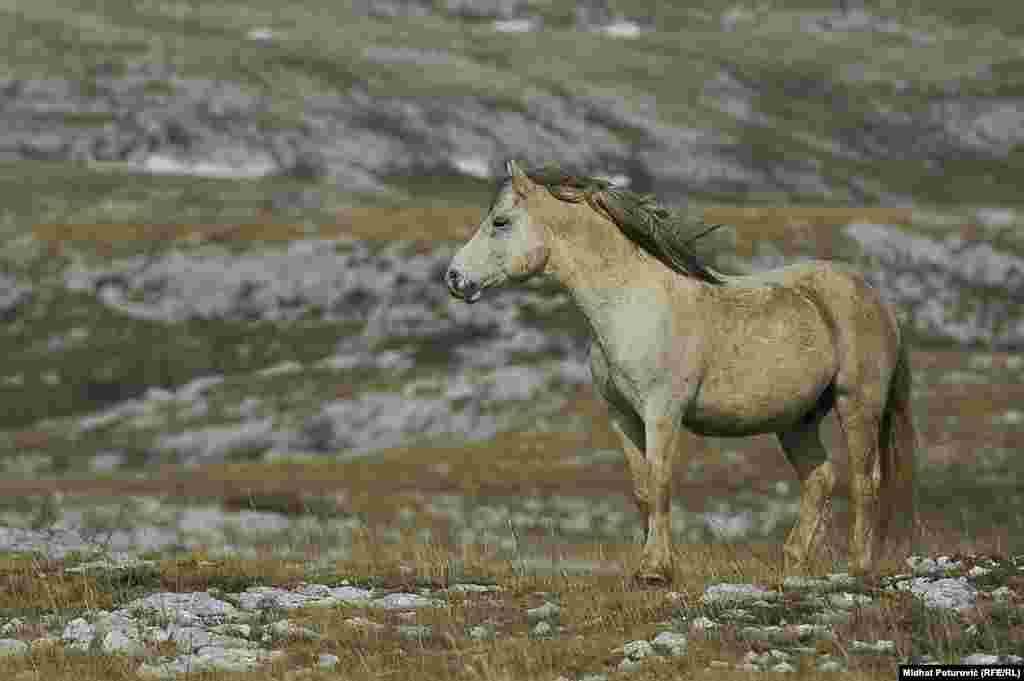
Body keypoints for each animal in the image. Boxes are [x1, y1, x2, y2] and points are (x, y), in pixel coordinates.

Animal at [444, 159, 917, 585]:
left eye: (500, 222)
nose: (454, 278)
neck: (630, 302)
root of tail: (876, 299)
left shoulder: (662, 413)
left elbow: (660, 482)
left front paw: (657, 570)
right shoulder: (622, 417)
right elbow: (641, 489)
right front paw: (644, 567)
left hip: (857, 405)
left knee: (865, 481)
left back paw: (859, 566)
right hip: (796, 421)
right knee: (819, 479)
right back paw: (794, 564)